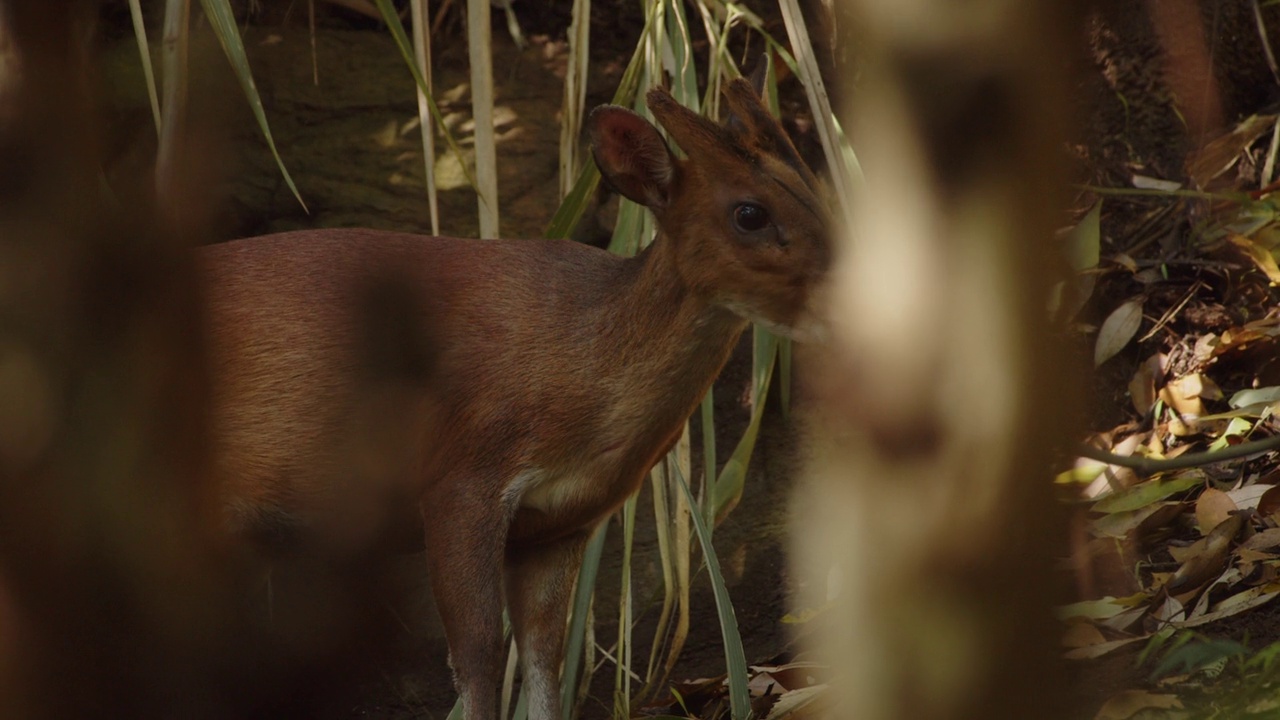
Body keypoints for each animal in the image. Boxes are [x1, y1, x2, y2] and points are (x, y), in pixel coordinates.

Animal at [202, 75, 829, 712]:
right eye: (749, 213)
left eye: (818, 193)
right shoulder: (459, 479)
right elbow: (478, 654)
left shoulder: (560, 522)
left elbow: (544, 660)